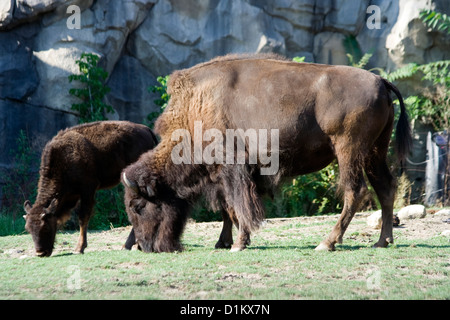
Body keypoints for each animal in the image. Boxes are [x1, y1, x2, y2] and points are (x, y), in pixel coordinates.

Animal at [24, 120, 159, 258]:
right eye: (28, 229)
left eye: (46, 226)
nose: (40, 253)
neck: (64, 159)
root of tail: (146, 130)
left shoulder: (87, 190)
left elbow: (83, 217)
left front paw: (79, 248)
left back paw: (127, 246)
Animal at [120, 54, 412, 252]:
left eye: (138, 206)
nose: (145, 246)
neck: (197, 107)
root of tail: (380, 81)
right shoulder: (223, 174)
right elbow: (228, 208)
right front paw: (226, 242)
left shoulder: (232, 168)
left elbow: (238, 206)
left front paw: (238, 244)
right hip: (375, 151)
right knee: (385, 187)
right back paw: (382, 241)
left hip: (348, 150)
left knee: (355, 191)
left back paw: (327, 243)